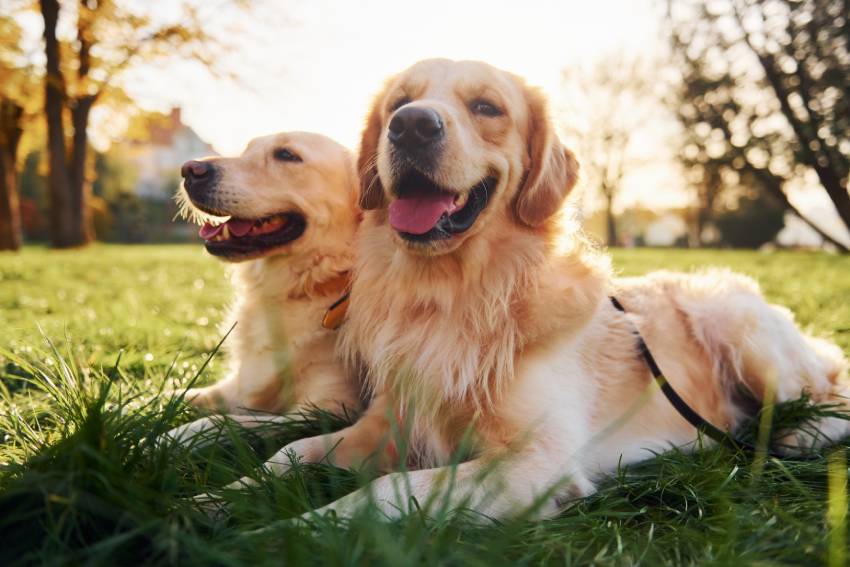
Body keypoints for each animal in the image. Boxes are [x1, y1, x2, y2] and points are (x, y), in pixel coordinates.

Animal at [171, 132, 360, 440]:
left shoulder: (328, 409)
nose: (190, 169)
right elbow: (171, 396)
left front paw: (171, 437)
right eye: (246, 150)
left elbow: (224, 421)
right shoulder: (236, 383)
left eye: (286, 155)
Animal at [197, 61, 848, 524]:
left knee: (831, 394)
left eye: (487, 107)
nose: (411, 124)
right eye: (398, 104)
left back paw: (799, 433)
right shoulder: (383, 422)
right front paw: (203, 503)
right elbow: (287, 453)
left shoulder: (535, 462)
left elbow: (382, 492)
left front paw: (280, 531)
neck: (452, 293)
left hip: (741, 330)